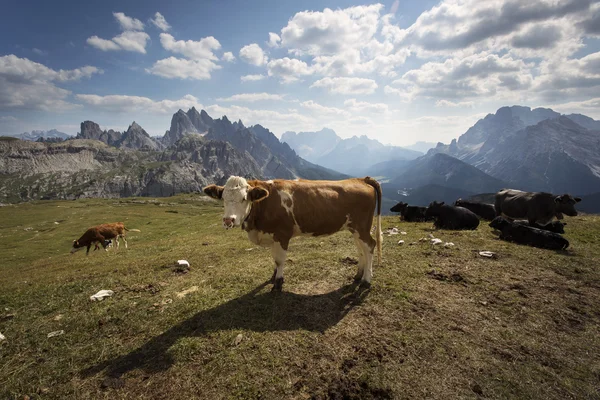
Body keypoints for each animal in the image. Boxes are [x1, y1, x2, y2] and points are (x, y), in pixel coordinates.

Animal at [204, 175, 382, 290]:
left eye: (244, 198)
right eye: (223, 198)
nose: (228, 220)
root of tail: (361, 179)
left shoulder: (282, 234)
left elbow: (279, 260)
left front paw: (278, 282)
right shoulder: (272, 235)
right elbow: (274, 258)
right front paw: (273, 276)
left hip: (362, 227)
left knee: (370, 246)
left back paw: (367, 280)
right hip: (354, 228)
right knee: (361, 249)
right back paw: (359, 275)